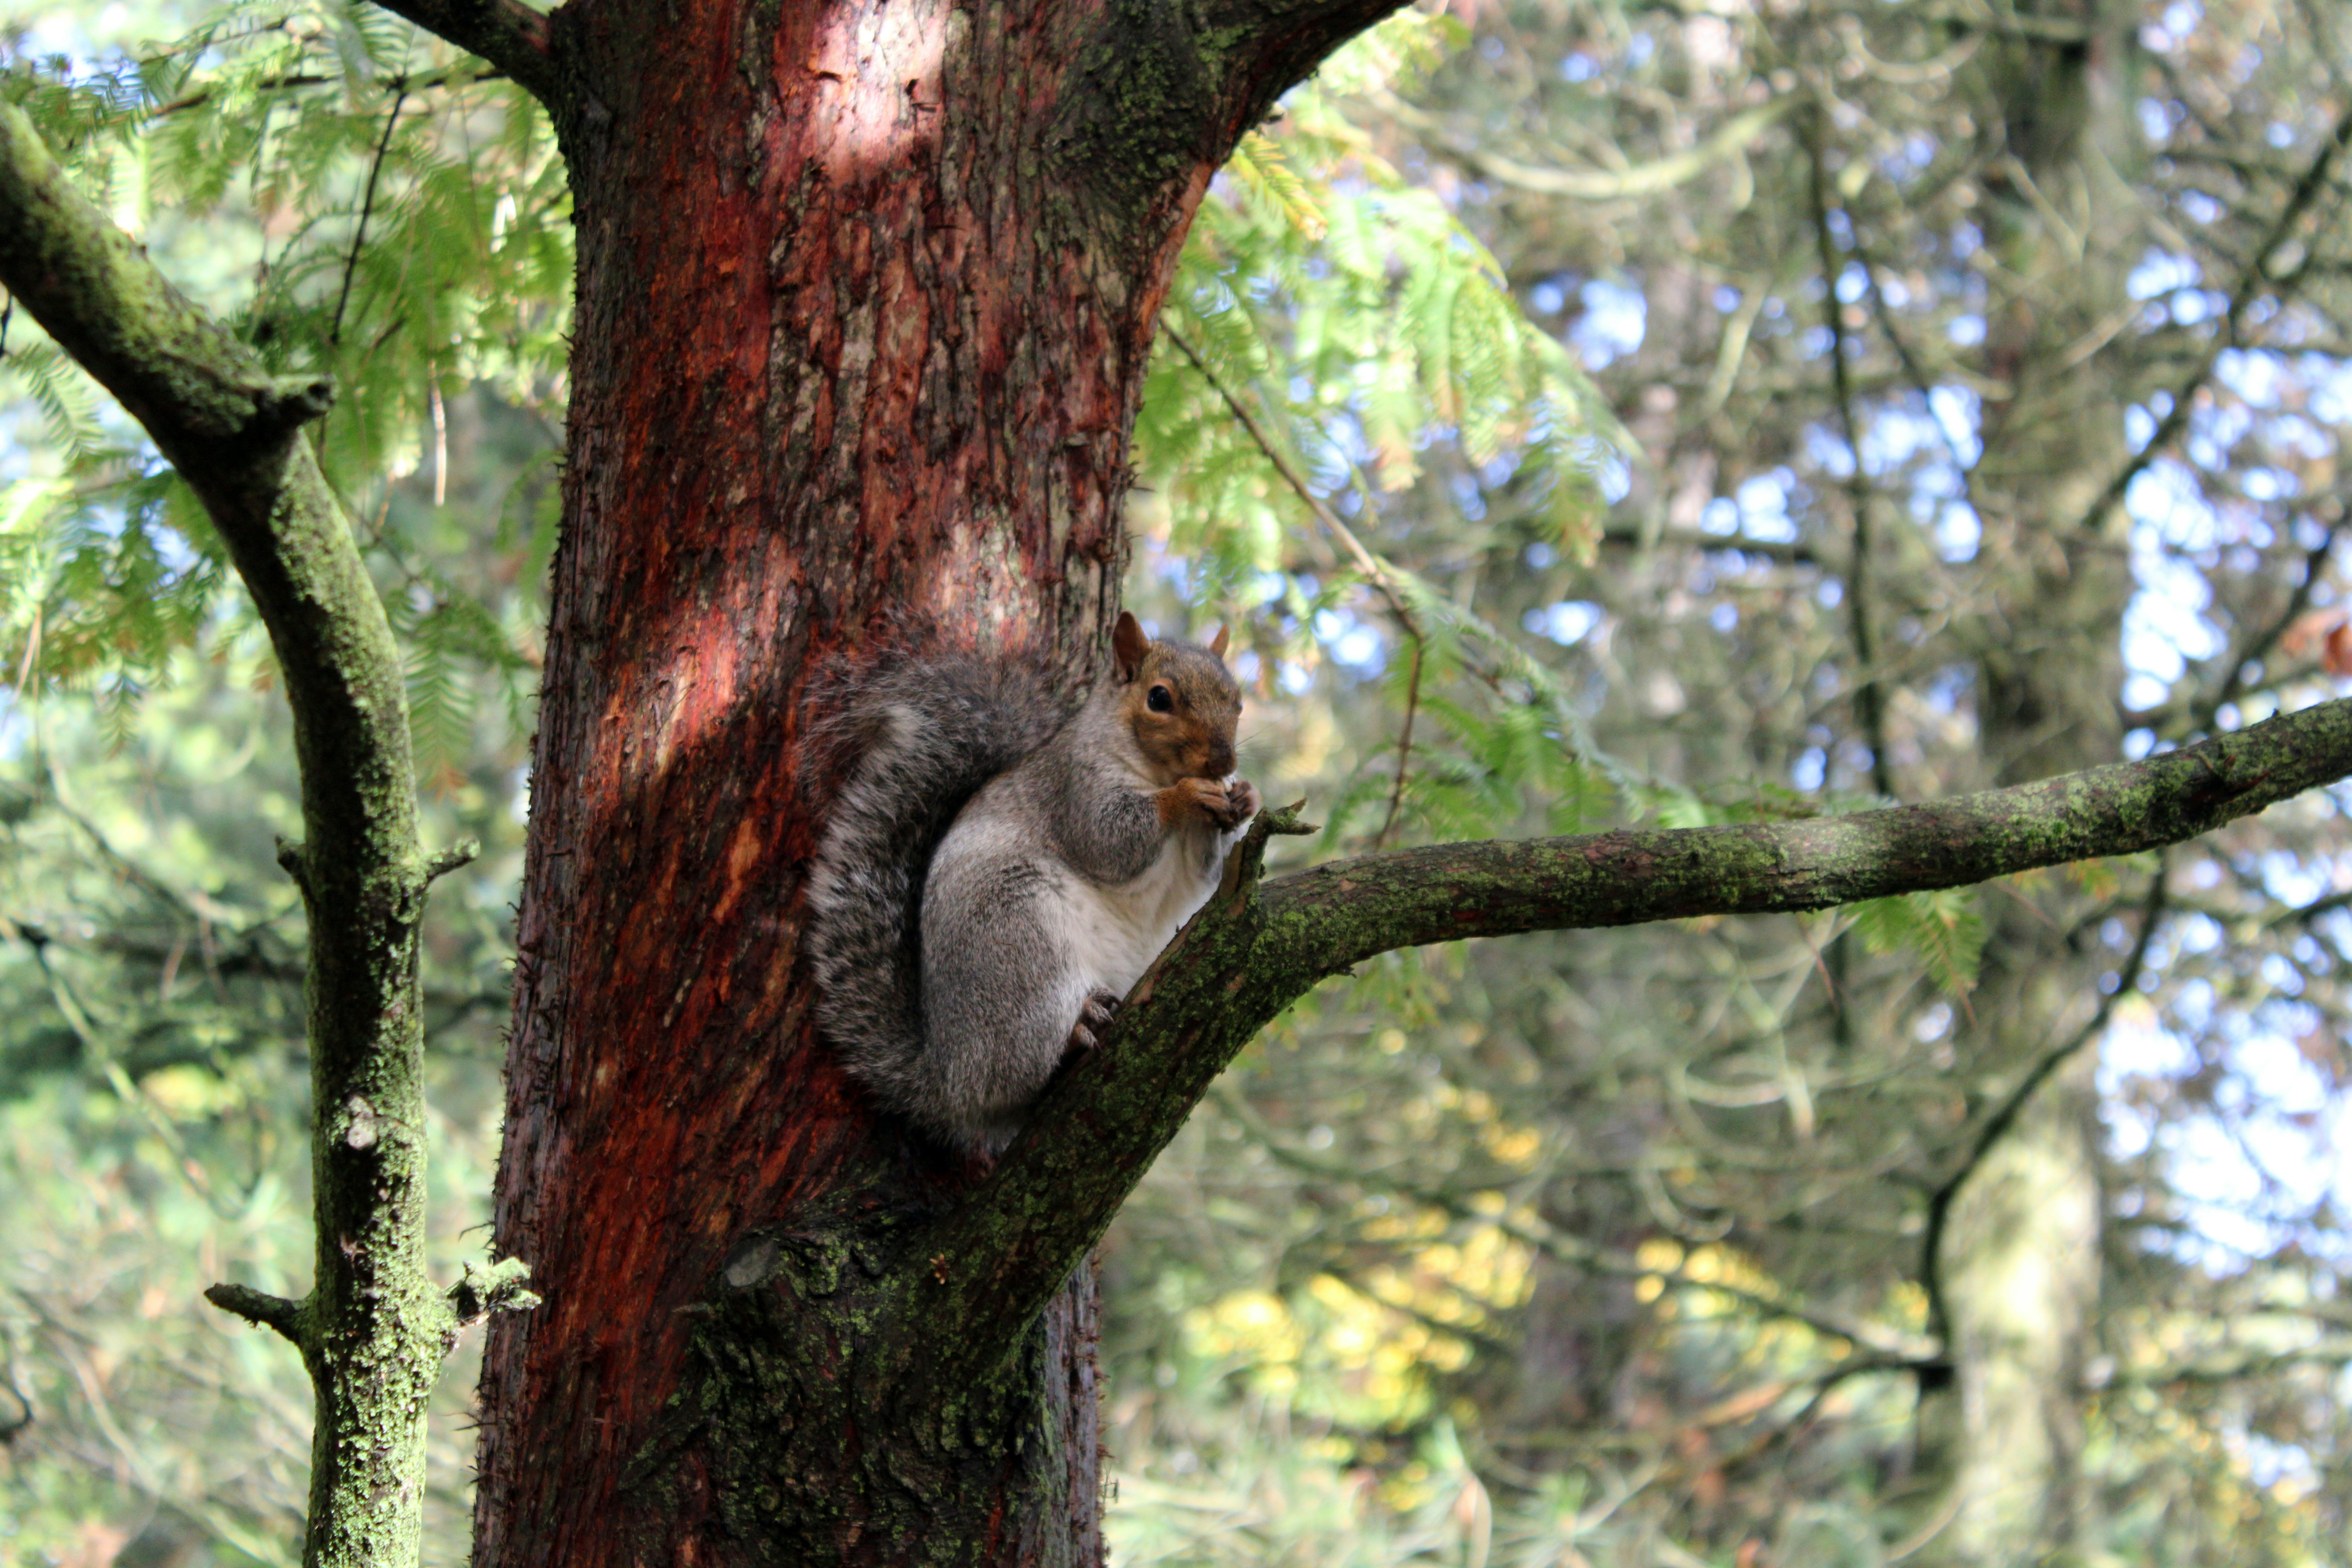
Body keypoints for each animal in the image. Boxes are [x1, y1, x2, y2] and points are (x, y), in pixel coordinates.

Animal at [807, 611, 1260, 1155]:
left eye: (1238, 702)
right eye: (1159, 698)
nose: (1223, 762)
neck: (1155, 771)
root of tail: (948, 1079)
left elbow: (1201, 874)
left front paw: (1245, 799)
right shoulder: (1075, 790)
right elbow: (1112, 840)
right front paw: (1188, 795)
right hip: (1016, 933)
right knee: (1015, 1067)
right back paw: (1074, 1031)